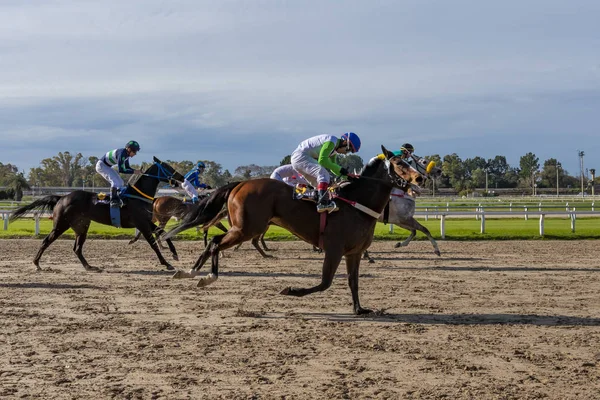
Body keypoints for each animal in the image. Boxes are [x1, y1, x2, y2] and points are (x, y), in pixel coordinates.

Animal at [9, 156, 183, 272]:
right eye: (168, 167)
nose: (181, 178)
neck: (138, 196)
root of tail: (62, 197)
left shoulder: (147, 221)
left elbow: (163, 232)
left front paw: (174, 254)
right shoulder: (141, 223)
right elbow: (153, 243)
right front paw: (167, 263)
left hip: (81, 225)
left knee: (77, 248)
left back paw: (89, 266)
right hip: (61, 224)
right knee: (46, 241)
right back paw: (37, 264)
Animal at [164, 145, 424, 314]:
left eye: (410, 162)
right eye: (399, 163)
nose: (420, 178)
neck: (357, 204)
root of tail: (241, 183)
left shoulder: (354, 253)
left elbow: (353, 281)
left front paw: (360, 309)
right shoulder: (334, 249)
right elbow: (325, 283)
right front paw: (290, 290)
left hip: (244, 228)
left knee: (214, 240)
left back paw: (191, 272)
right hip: (247, 228)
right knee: (216, 242)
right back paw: (206, 275)